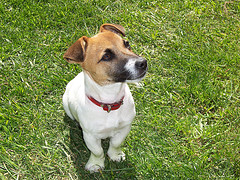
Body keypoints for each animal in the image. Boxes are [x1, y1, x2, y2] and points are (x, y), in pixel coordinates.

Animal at [62, 23, 147, 172]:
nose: (143, 62)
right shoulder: (90, 136)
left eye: (127, 44)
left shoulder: (124, 128)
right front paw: (96, 164)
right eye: (106, 56)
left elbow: (116, 144)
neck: (110, 103)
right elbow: (97, 151)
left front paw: (115, 155)